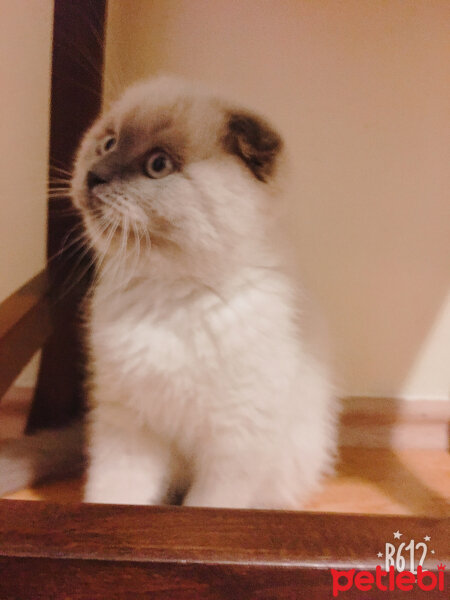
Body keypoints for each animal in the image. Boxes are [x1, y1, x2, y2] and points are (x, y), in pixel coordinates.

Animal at [0, 75, 338, 506]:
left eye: (158, 165)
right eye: (109, 143)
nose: (95, 176)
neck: (167, 294)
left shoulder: (233, 445)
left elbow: (206, 507)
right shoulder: (128, 427)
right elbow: (115, 496)